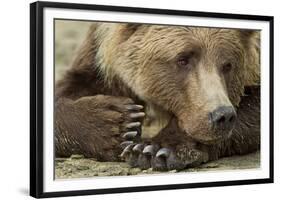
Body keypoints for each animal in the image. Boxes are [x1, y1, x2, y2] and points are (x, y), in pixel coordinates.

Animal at [54, 22, 260, 171]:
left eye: (228, 65)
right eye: (183, 59)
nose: (222, 116)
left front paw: (154, 149)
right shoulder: (98, 56)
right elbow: (70, 88)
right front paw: (118, 123)